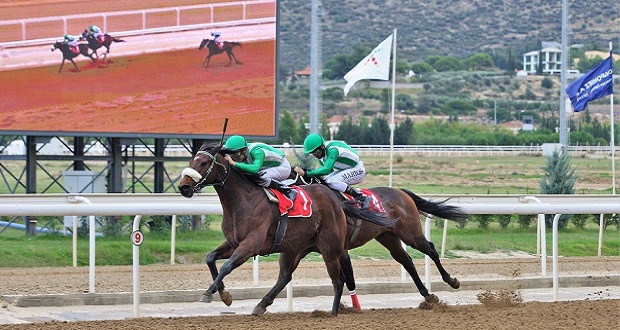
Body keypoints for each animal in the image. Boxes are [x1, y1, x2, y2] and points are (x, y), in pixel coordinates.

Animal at [177, 143, 394, 316]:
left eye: (204, 163)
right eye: (191, 160)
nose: (184, 187)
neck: (243, 201)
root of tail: (335, 200)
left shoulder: (250, 245)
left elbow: (226, 267)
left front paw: (209, 293)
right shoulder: (233, 244)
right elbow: (210, 258)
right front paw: (222, 294)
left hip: (330, 248)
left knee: (338, 280)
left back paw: (333, 314)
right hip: (294, 247)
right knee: (285, 276)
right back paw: (261, 305)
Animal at [288, 169, 468, 308]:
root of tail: (401, 192)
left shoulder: (340, 250)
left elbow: (348, 279)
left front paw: (353, 307)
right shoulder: (303, 249)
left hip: (411, 234)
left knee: (430, 249)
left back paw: (451, 280)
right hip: (388, 237)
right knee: (406, 261)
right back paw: (427, 295)